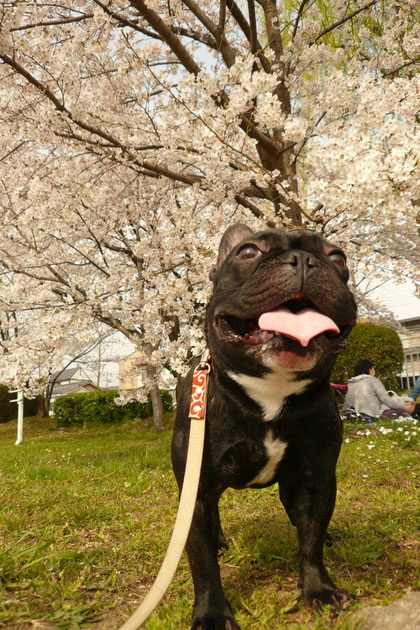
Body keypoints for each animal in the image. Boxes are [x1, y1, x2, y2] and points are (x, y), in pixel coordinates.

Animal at [172, 225, 356, 628]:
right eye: (247, 251)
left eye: (338, 258)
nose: (303, 259)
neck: (271, 392)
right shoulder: (196, 492)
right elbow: (202, 563)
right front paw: (211, 614)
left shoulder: (316, 479)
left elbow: (311, 538)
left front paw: (318, 589)